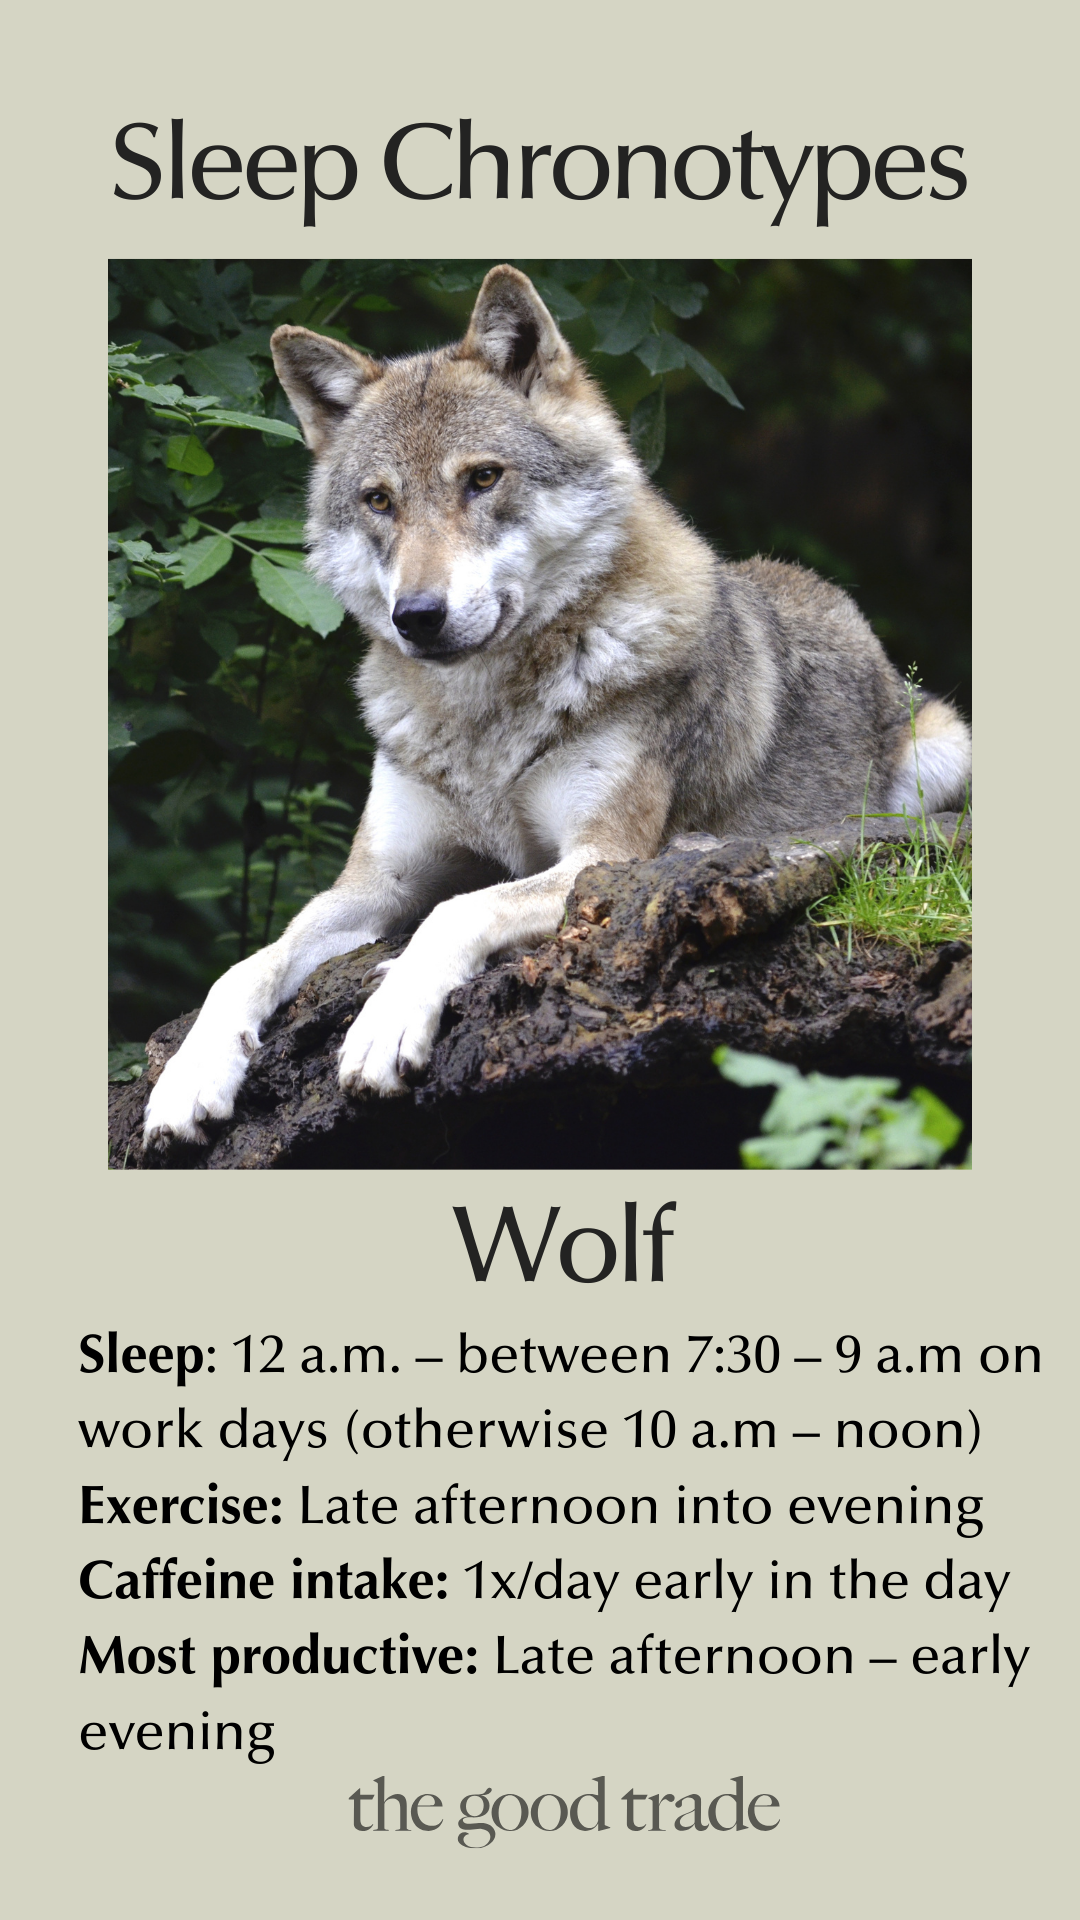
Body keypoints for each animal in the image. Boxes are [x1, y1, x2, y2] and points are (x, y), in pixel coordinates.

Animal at [143, 264, 971, 1147]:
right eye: (379, 501)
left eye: (482, 477)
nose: (417, 616)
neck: (483, 721)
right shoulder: (374, 883)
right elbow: (247, 964)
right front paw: (189, 1077)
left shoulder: (597, 858)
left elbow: (457, 910)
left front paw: (384, 1022)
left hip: (944, 749)